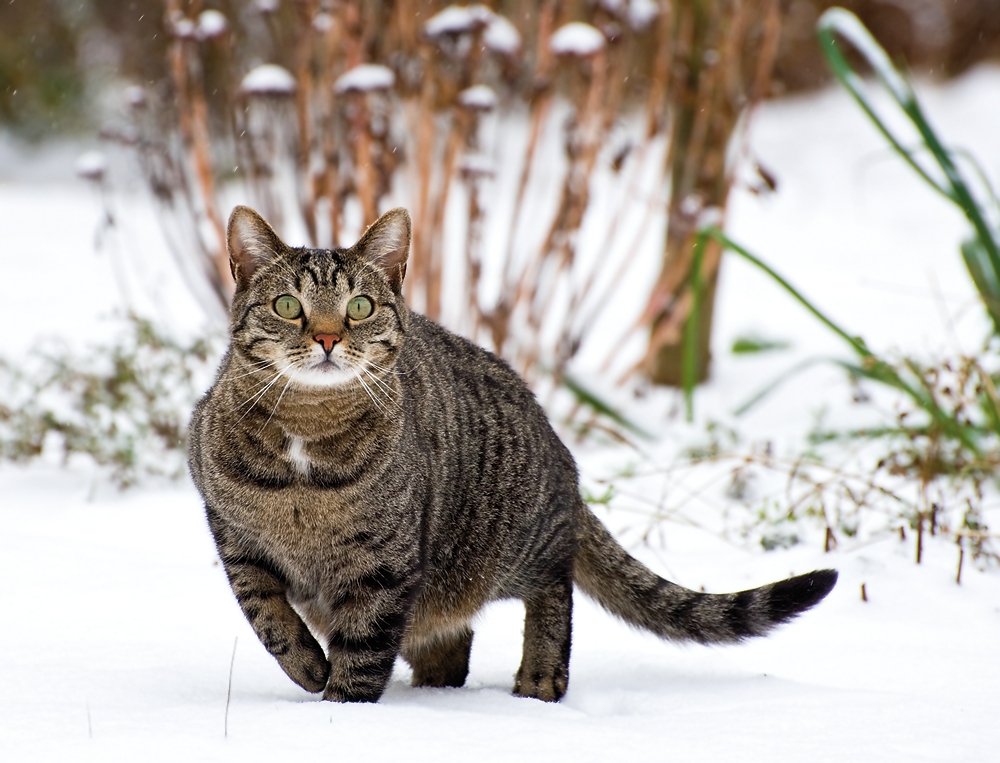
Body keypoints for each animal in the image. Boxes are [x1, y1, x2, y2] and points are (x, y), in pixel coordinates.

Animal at [188, 207, 836, 704]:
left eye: (360, 308)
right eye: (288, 306)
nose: (327, 337)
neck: (307, 435)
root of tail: (559, 452)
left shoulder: (385, 567)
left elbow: (366, 651)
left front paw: (342, 711)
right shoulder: (236, 544)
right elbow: (270, 619)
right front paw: (309, 669)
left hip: (511, 541)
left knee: (554, 586)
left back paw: (540, 678)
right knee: (450, 644)